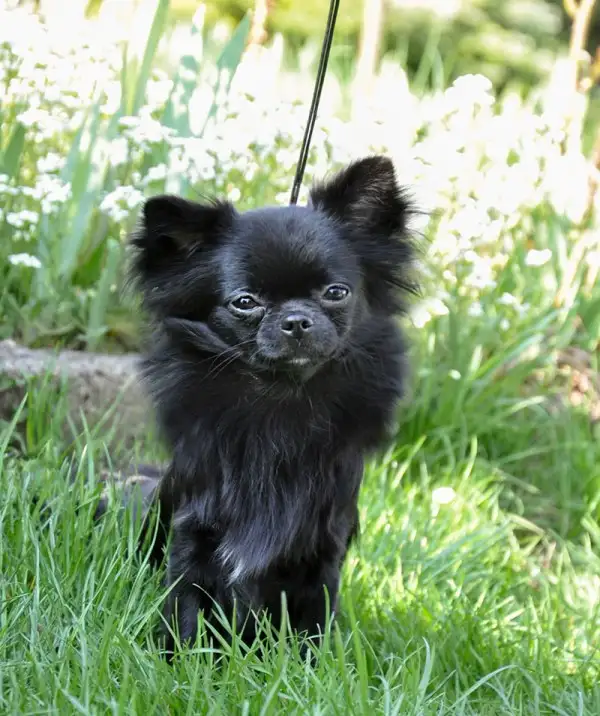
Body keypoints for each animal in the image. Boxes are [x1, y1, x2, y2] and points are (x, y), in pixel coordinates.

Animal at [129, 155, 418, 656]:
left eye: (336, 293)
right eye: (245, 302)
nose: (296, 320)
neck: (284, 402)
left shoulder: (321, 548)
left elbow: (314, 624)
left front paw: (311, 669)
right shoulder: (194, 533)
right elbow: (185, 607)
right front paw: (179, 662)